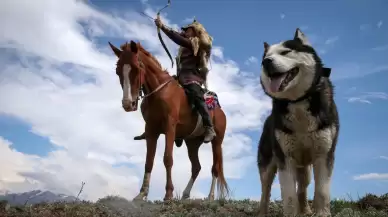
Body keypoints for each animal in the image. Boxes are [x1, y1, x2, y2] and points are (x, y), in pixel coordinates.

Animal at [107, 39, 229, 201]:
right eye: (118, 71)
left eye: (136, 68)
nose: (128, 103)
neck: (158, 93)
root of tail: (220, 112)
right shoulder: (151, 131)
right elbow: (148, 161)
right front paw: (142, 193)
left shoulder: (169, 127)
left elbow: (167, 159)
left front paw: (169, 194)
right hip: (192, 143)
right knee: (196, 167)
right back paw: (185, 194)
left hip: (217, 142)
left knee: (215, 168)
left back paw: (210, 196)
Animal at [258, 28, 340, 217]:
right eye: (266, 57)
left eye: (286, 52)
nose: (266, 62)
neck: (298, 101)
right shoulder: (285, 158)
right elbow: (288, 196)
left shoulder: (324, 154)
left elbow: (322, 192)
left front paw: (321, 213)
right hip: (268, 165)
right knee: (265, 190)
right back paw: (262, 212)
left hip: (305, 168)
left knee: (302, 188)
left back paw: (305, 210)